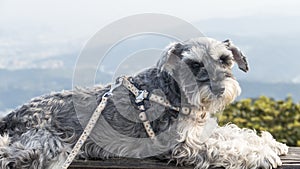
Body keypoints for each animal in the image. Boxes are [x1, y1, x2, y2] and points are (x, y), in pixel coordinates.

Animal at [0, 37, 288, 169]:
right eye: (194, 64)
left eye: (225, 59)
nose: (218, 89)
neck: (175, 92)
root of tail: (11, 117)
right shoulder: (185, 145)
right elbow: (226, 146)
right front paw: (261, 154)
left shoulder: (199, 131)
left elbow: (232, 133)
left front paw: (270, 143)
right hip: (48, 146)